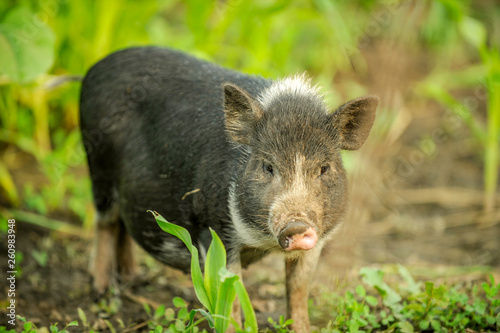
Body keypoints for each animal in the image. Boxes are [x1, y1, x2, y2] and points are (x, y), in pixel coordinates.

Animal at [80, 47, 376, 332]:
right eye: (267, 166)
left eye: (324, 168)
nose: (297, 225)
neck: (262, 241)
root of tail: (94, 68)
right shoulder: (214, 229)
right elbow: (228, 298)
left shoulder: (318, 242)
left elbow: (298, 289)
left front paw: (302, 328)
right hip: (98, 168)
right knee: (105, 223)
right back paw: (102, 291)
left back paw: (131, 276)